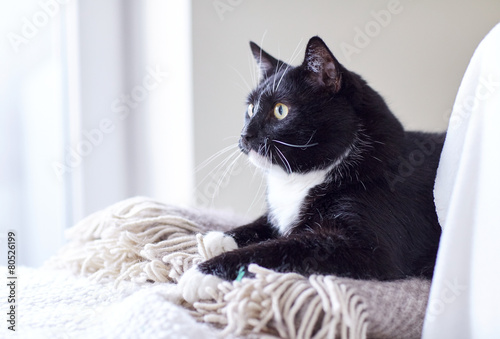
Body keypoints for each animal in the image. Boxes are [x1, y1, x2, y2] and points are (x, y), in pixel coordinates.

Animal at [178, 36, 444, 302]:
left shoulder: (366, 247)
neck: (304, 178)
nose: (244, 135)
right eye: (251, 109)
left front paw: (204, 272)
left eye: (280, 110)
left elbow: (281, 247)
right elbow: (267, 223)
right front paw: (220, 237)